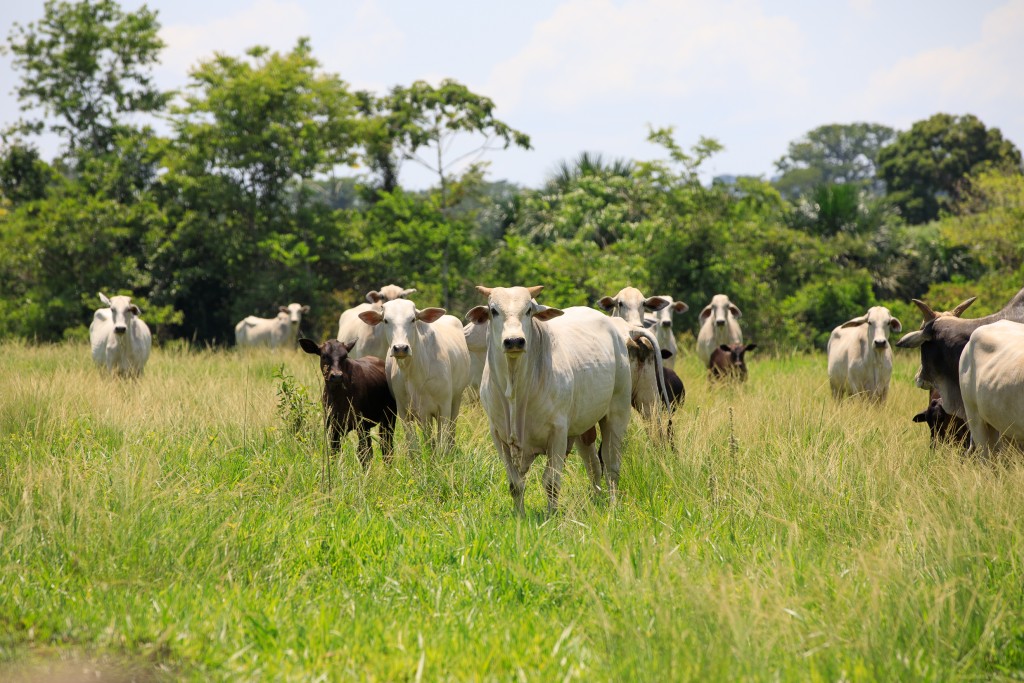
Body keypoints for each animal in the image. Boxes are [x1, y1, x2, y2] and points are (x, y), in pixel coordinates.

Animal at [358, 296, 468, 454]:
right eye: (385, 320)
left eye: (412, 319)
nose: (400, 348)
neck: (415, 373)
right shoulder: (404, 412)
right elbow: (414, 447)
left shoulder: (444, 407)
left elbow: (442, 443)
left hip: (456, 399)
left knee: (451, 432)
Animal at [466, 286, 630, 516]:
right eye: (493, 310)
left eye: (528, 310)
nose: (514, 341)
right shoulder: (499, 436)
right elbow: (515, 484)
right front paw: (520, 516)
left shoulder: (558, 433)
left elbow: (551, 482)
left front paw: (551, 515)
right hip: (582, 428)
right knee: (593, 466)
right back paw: (596, 500)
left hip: (617, 413)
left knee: (611, 465)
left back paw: (613, 505)